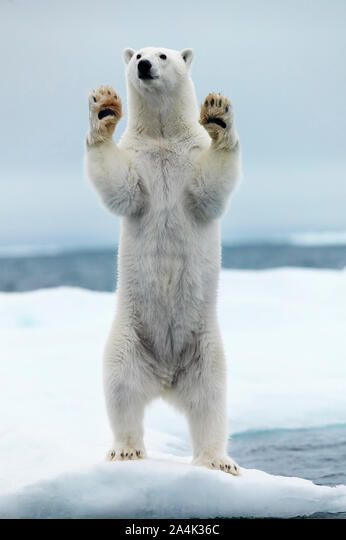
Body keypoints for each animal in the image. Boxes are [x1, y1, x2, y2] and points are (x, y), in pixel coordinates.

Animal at [86, 48, 241, 474]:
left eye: (164, 55)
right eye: (138, 54)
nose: (144, 66)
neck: (162, 137)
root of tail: (167, 378)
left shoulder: (191, 157)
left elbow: (209, 190)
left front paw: (219, 114)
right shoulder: (138, 160)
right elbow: (121, 188)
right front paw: (103, 108)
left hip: (206, 348)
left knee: (211, 402)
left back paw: (217, 460)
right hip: (128, 337)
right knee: (121, 389)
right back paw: (126, 449)